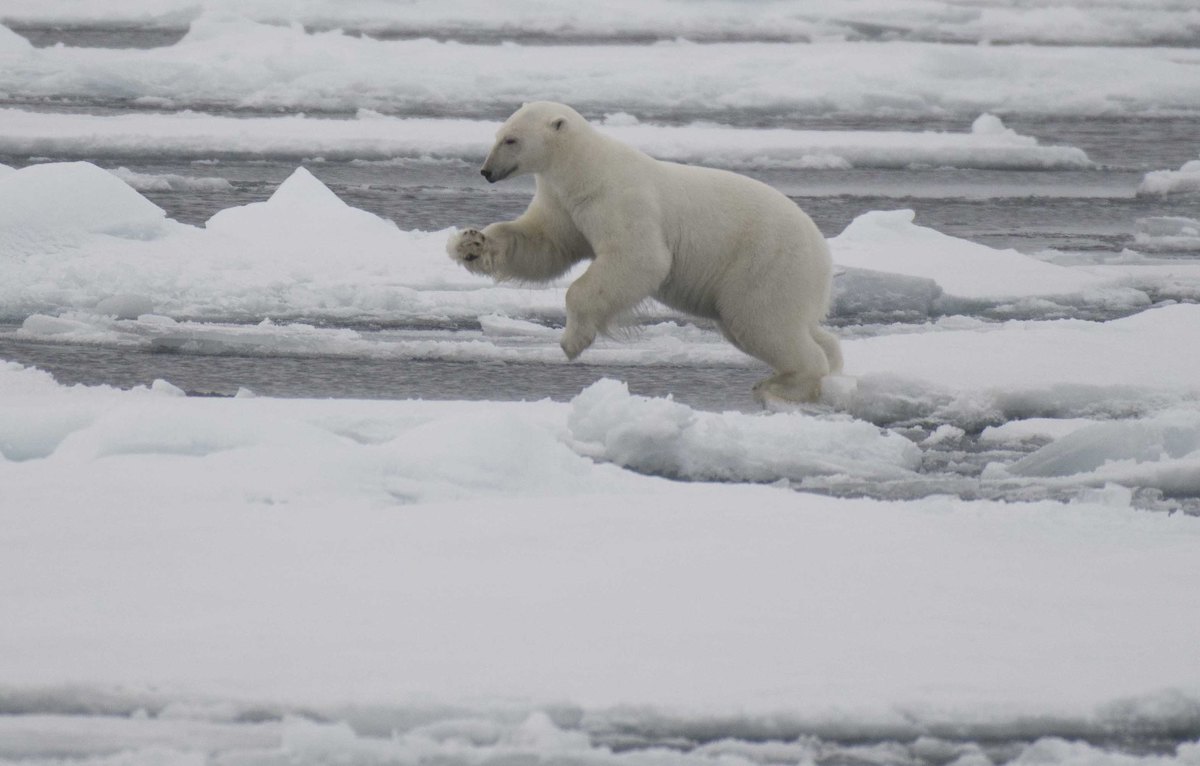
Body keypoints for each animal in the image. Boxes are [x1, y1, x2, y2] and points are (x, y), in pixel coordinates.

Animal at [446, 101, 842, 403]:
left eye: (511, 139)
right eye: (497, 135)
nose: (486, 171)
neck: (585, 169)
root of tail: (823, 255)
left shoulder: (619, 199)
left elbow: (640, 257)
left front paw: (573, 341)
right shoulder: (564, 204)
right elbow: (543, 244)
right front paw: (469, 243)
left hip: (766, 264)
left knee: (761, 323)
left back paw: (781, 383)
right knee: (776, 327)